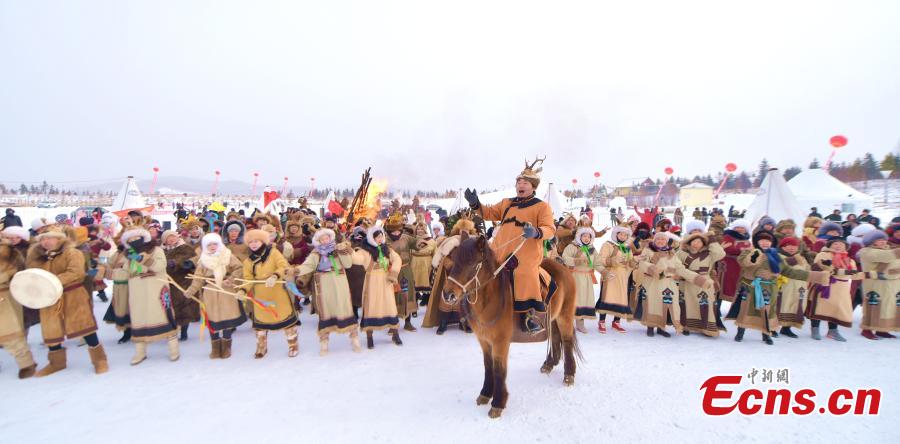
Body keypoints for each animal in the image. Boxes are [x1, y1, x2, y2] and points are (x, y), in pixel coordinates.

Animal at [442, 234, 580, 418]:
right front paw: (485, 394)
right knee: (556, 338)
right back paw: (549, 364)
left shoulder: (500, 342)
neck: (491, 299)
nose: (447, 294)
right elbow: (488, 367)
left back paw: (569, 375)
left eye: (473, 264)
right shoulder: (484, 342)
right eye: (454, 260)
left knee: (567, 341)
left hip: (565, 316)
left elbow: (499, 370)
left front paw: (498, 403)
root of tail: (563, 268)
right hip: (553, 318)